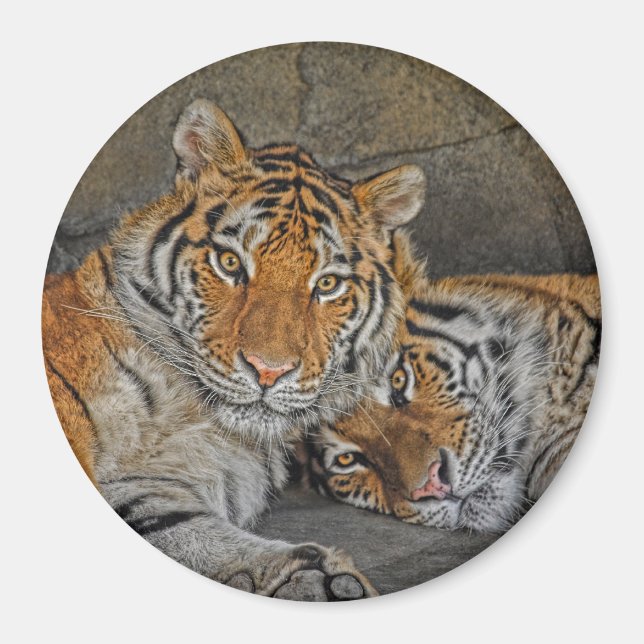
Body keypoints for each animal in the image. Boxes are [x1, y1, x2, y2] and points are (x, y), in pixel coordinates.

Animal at [42, 99, 427, 600]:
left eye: (327, 285)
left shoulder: (142, 484)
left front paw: (318, 580)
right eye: (229, 263)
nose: (268, 370)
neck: (194, 417)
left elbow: (180, 527)